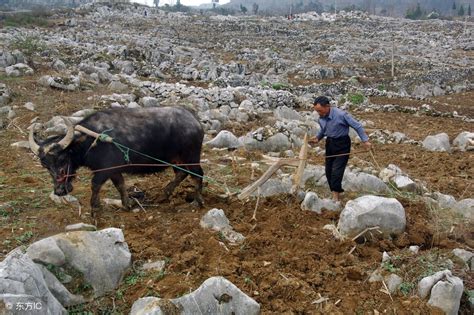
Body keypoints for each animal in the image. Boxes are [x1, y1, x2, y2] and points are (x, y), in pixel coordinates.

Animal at [28, 106, 205, 215]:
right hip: (177, 160)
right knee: (181, 174)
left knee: (198, 175)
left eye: (63, 158)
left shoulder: (105, 170)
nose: (59, 191)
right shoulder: (114, 170)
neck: (91, 141)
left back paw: (197, 202)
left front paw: (95, 207)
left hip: (191, 157)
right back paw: (165, 194)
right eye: (45, 165)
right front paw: (127, 204)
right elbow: (120, 185)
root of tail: (195, 121)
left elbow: (95, 185)